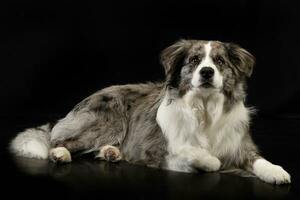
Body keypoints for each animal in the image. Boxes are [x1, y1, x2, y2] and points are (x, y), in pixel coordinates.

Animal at [9, 39, 290, 185]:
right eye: (194, 60)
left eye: (220, 62)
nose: (207, 72)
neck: (204, 108)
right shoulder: (157, 152)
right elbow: (205, 159)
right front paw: (207, 158)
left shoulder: (241, 147)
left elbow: (258, 159)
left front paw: (276, 172)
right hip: (108, 121)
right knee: (58, 139)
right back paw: (60, 152)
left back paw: (111, 152)